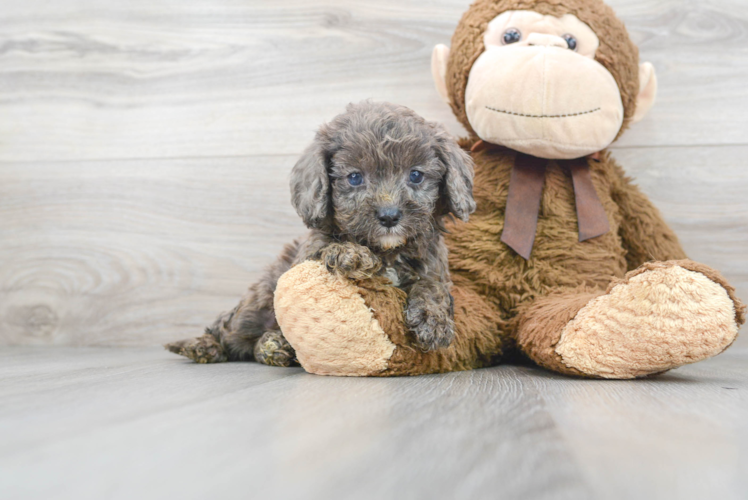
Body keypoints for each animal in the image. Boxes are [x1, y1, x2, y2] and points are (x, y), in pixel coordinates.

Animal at [167, 102, 476, 368]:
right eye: (354, 178)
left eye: (416, 175)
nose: (389, 216)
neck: (387, 250)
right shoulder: (308, 254)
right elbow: (329, 248)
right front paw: (349, 253)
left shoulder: (433, 266)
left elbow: (432, 288)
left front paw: (432, 320)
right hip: (257, 304)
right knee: (228, 329)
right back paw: (203, 346)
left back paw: (273, 346)